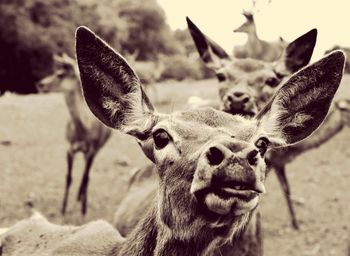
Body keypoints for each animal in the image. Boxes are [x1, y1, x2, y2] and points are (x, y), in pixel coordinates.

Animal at [36, 53, 111, 216]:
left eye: (60, 74)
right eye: (56, 71)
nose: (40, 84)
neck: (83, 131)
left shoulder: (91, 149)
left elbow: (86, 177)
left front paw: (84, 210)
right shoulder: (70, 148)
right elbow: (68, 177)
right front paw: (63, 209)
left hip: (99, 148)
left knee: (86, 174)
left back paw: (81, 199)